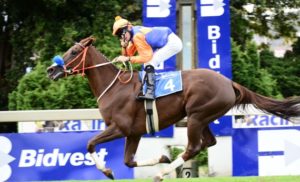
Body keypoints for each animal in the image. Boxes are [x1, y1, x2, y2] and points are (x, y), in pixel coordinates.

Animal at [47, 36, 300, 181]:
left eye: (73, 52)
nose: (50, 70)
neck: (115, 87)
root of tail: (229, 82)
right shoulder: (134, 132)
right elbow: (128, 161)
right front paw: (162, 157)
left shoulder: (120, 127)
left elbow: (90, 144)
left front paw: (108, 171)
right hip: (201, 117)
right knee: (207, 143)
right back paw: (169, 167)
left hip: (197, 116)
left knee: (193, 147)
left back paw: (162, 174)